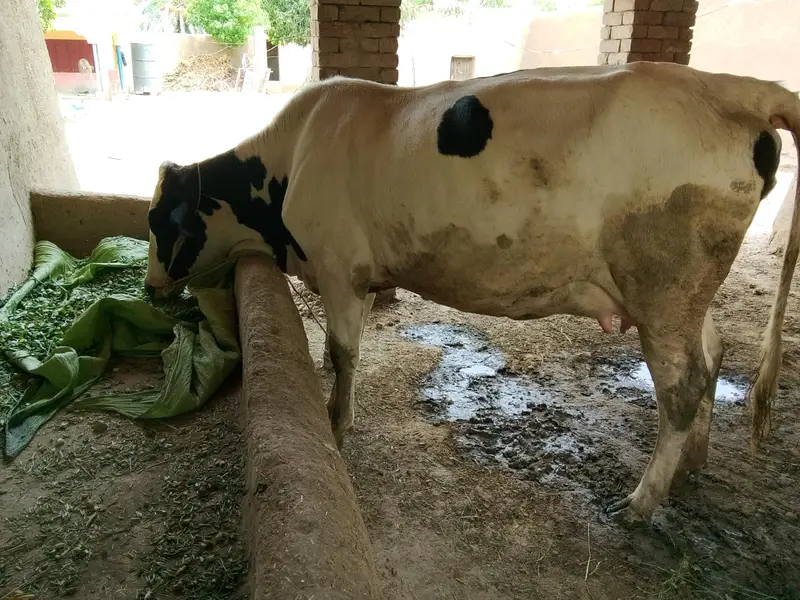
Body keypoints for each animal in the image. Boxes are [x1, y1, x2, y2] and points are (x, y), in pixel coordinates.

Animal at [144, 62, 800, 524]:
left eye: (162, 222)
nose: (151, 289)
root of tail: (732, 86)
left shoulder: (339, 269)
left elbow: (343, 353)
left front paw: (338, 421)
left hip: (661, 288)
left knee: (682, 387)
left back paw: (641, 501)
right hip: (684, 296)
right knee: (713, 355)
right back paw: (691, 466)